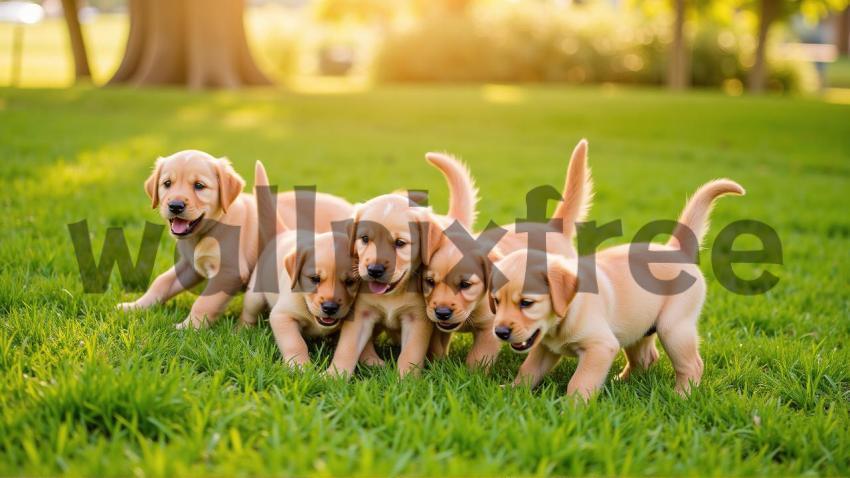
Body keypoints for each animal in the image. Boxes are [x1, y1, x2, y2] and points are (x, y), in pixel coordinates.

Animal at [117, 150, 350, 328]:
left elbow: (204, 303)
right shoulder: (190, 266)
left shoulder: (229, 272)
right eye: (167, 183)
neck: (211, 228)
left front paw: (188, 328)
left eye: (199, 186)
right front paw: (135, 306)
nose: (175, 205)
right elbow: (161, 282)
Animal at [326, 153, 476, 378]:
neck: (392, 294)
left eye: (400, 243)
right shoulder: (361, 313)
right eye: (364, 239)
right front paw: (333, 376)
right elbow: (347, 347)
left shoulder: (417, 319)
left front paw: (406, 380)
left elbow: (410, 354)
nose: (374, 270)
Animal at [490, 179, 744, 400]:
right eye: (496, 302)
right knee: (646, 358)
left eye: (526, 303)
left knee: (692, 365)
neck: (566, 313)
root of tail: (675, 249)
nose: (500, 332)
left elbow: (579, 382)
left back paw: (681, 396)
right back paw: (620, 383)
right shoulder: (546, 348)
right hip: (639, 328)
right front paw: (512, 390)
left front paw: (572, 409)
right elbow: (528, 370)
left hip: (673, 328)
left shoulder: (600, 347)